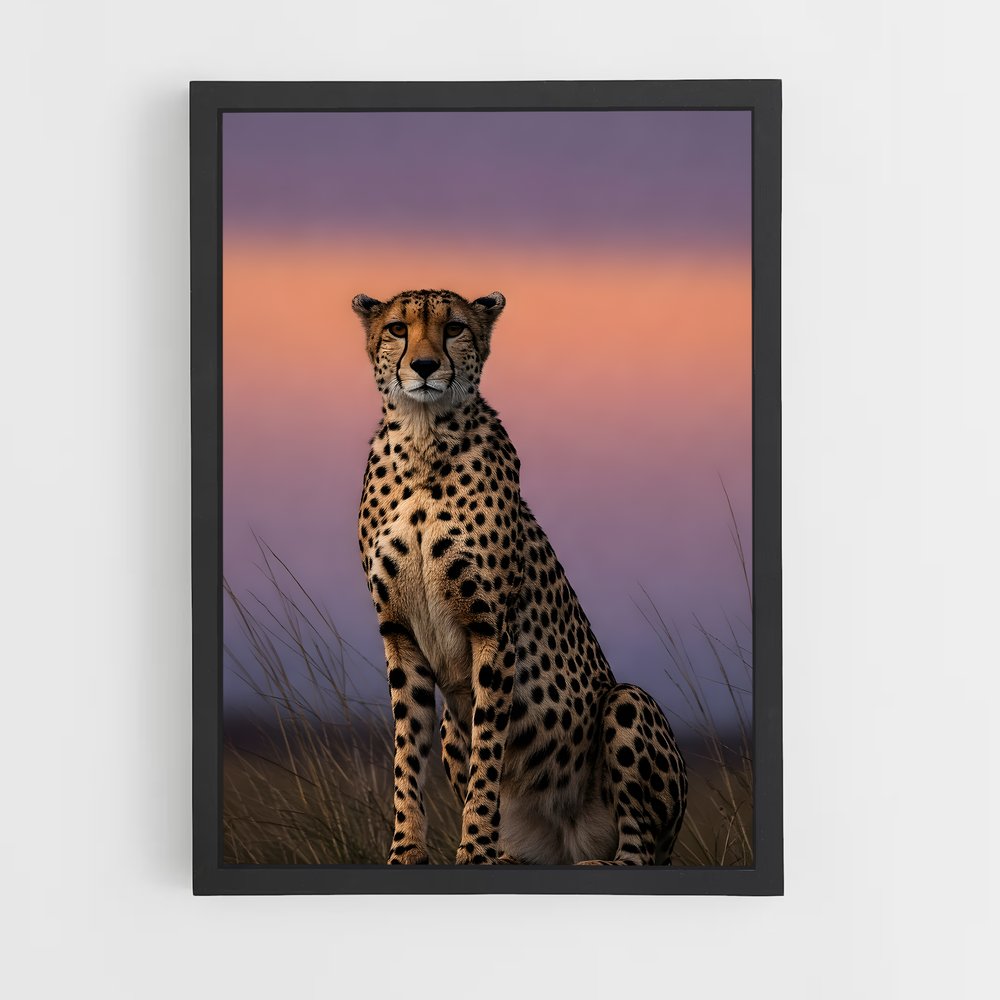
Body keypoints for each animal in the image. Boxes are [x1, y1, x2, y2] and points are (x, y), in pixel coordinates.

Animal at [352, 287, 687, 865]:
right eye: (397, 328)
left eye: (455, 328)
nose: (424, 366)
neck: (422, 440)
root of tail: (567, 845)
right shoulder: (399, 634)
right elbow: (406, 752)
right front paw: (406, 850)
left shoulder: (491, 629)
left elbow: (488, 750)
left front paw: (475, 849)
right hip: (453, 726)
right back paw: (513, 854)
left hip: (627, 702)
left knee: (640, 853)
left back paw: (594, 862)